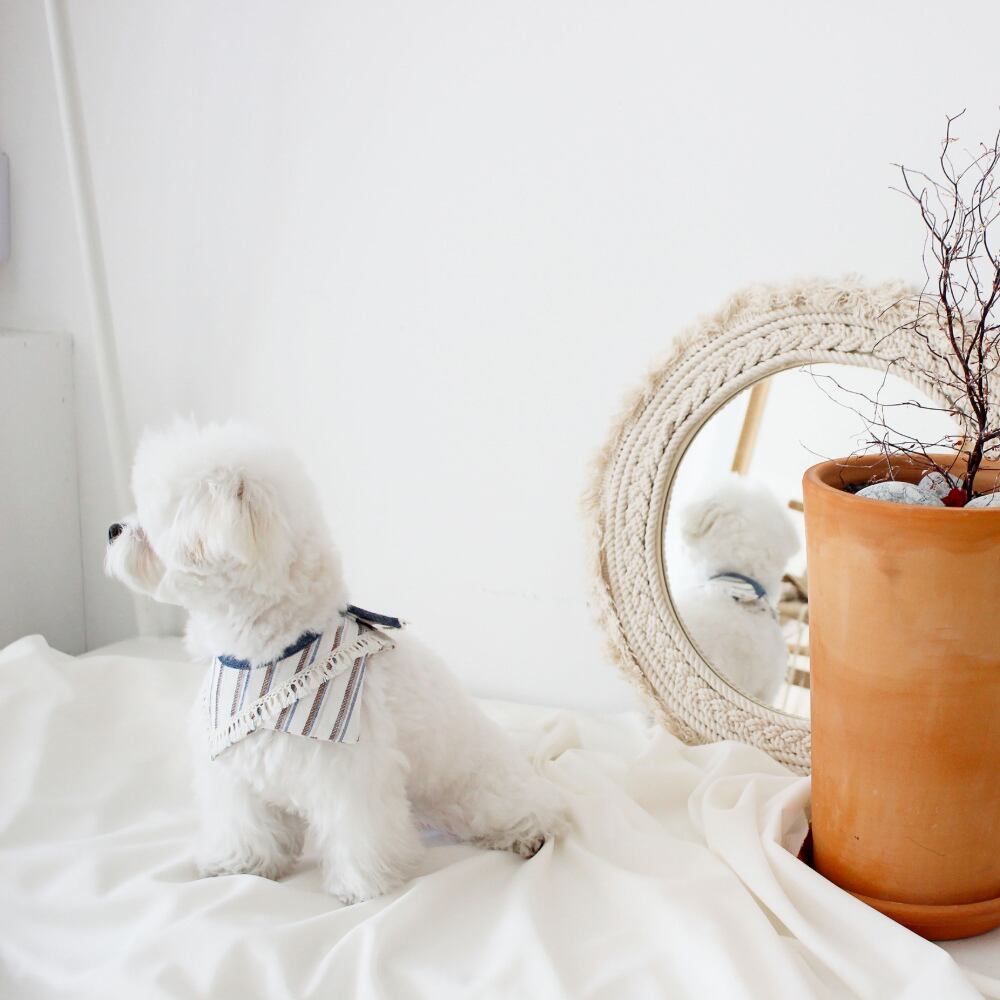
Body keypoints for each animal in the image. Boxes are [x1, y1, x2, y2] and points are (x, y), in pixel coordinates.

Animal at [105, 420, 567, 903]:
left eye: (152, 517)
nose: (113, 528)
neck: (268, 661)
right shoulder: (236, 773)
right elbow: (246, 827)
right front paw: (241, 866)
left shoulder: (352, 776)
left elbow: (360, 836)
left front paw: (362, 886)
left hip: (482, 789)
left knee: (534, 808)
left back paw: (528, 833)